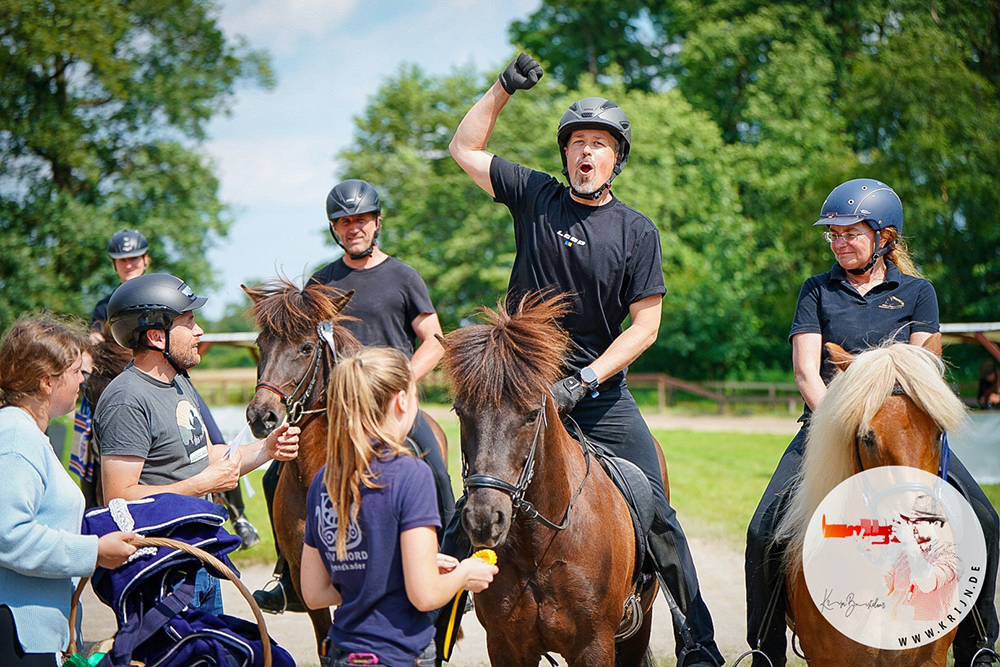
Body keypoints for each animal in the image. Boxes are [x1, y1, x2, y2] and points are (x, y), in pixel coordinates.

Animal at [440, 296, 664, 667]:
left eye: (532, 414)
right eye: (460, 411)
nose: (484, 520)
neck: (539, 549)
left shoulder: (594, 646)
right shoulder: (505, 645)